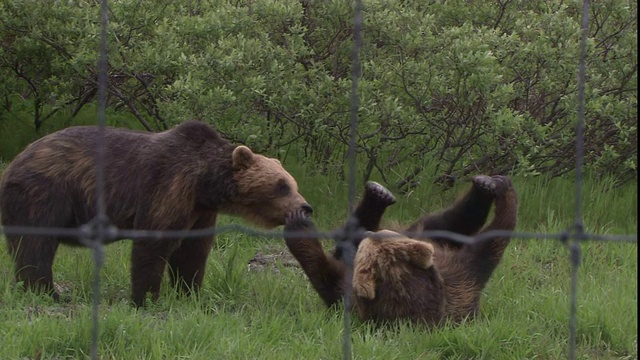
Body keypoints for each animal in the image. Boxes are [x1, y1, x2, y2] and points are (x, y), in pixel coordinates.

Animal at [0, 121, 310, 306]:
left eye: (292, 182)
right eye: (282, 185)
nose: (305, 207)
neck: (204, 185)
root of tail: (13, 162)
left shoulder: (199, 211)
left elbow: (192, 251)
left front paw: (190, 293)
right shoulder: (168, 186)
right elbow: (153, 244)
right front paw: (146, 298)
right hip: (45, 192)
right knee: (35, 244)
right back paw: (47, 292)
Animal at [282, 175, 516, 326]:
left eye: (365, 254)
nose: (368, 235)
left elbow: (323, 272)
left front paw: (299, 226)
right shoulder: (460, 274)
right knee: (452, 221)